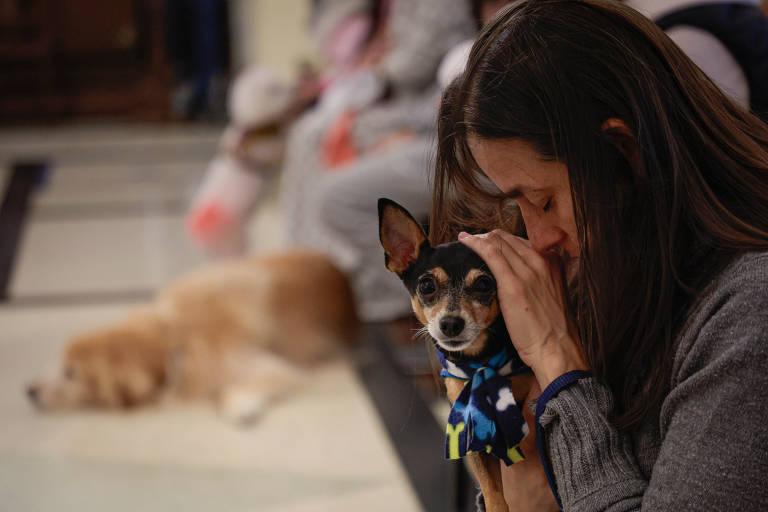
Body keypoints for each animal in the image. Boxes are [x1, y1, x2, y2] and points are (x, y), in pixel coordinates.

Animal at [25, 251, 358, 424]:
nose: (28, 390)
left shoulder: (271, 367)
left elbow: (231, 394)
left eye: (71, 373)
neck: (176, 334)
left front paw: (240, 407)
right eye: (59, 361)